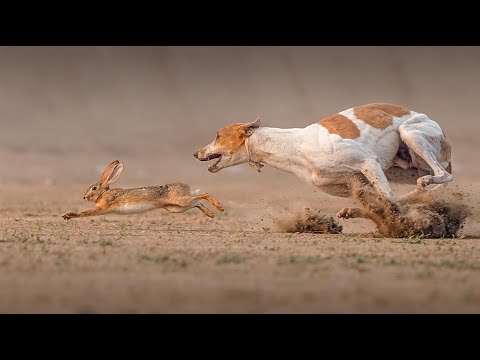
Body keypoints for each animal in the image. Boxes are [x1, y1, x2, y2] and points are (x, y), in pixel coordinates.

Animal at [193, 102, 452, 218]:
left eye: (218, 135)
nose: (196, 153)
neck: (294, 146)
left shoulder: (368, 162)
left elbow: (388, 199)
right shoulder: (355, 182)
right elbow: (380, 200)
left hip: (411, 134)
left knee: (444, 175)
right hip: (399, 169)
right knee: (417, 190)